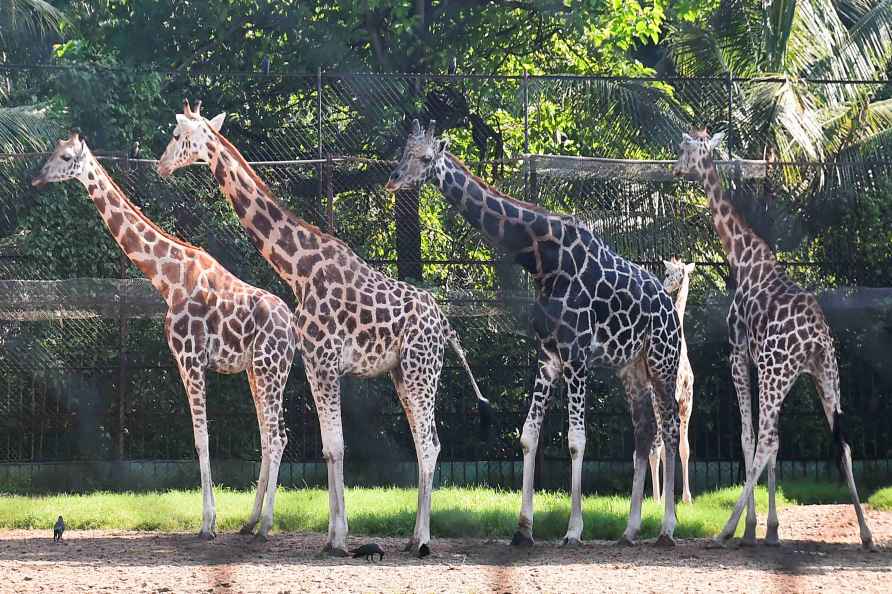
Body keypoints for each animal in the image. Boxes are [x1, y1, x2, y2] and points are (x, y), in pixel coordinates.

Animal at [32, 132, 296, 540]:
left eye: (64, 156)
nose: (37, 178)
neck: (168, 280)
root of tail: (293, 329)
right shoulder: (188, 362)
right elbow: (205, 439)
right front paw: (215, 521)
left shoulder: (191, 359)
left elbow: (202, 440)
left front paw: (207, 524)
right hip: (257, 371)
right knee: (268, 437)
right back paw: (249, 522)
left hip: (270, 369)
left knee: (277, 436)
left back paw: (265, 525)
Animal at [157, 98, 492, 556]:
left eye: (176, 135)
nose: (161, 165)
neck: (299, 270)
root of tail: (446, 328)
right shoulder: (317, 363)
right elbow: (329, 447)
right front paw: (337, 533)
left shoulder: (325, 360)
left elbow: (334, 446)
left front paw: (337, 537)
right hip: (403, 374)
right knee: (426, 442)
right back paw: (410, 538)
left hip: (421, 370)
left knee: (429, 443)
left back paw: (423, 540)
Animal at [386, 120, 684, 544]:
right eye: (401, 152)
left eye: (426, 158)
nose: (394, 179)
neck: (544, 260)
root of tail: (669, 304)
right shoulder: (549, 355)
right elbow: (528, 435)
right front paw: (523, 527)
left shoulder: (576, 355)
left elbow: (576, 441)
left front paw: (574, 529)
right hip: (631, 366)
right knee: (645, 432)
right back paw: (630, 530)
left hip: (663, 359)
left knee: (671, 427)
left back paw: (668, 527)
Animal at [672, 128, 876, 544]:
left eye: (684, 147)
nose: (674, 168)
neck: (741, 257)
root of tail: (816, 339)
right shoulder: (763, 364)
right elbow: (774, 442)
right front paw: (771, 529)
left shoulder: (738, 353)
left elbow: (749, 437)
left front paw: (754, 528)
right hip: (826, 376)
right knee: (842, 443)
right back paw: (865, 533)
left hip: (777, 372)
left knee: (766, 438)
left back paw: (726, 529)